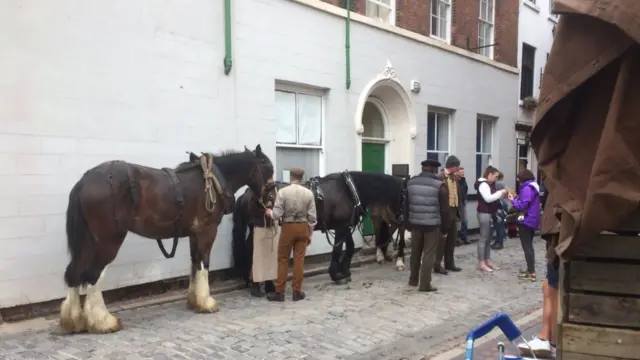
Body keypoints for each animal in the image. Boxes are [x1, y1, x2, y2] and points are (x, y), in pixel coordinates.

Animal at [61, 144, 276, 334]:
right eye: (267, 167)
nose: (272, 198)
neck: (213, 181)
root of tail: (85, 181)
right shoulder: (207, 231)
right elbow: (204, 263)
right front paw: (206, 301)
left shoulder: (194, 234)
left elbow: (194, 263)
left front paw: (195, 300)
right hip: (108, 240)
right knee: (93, 275)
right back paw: (103, 321)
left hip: (88, 241)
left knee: (74, 273)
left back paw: (74, 320)